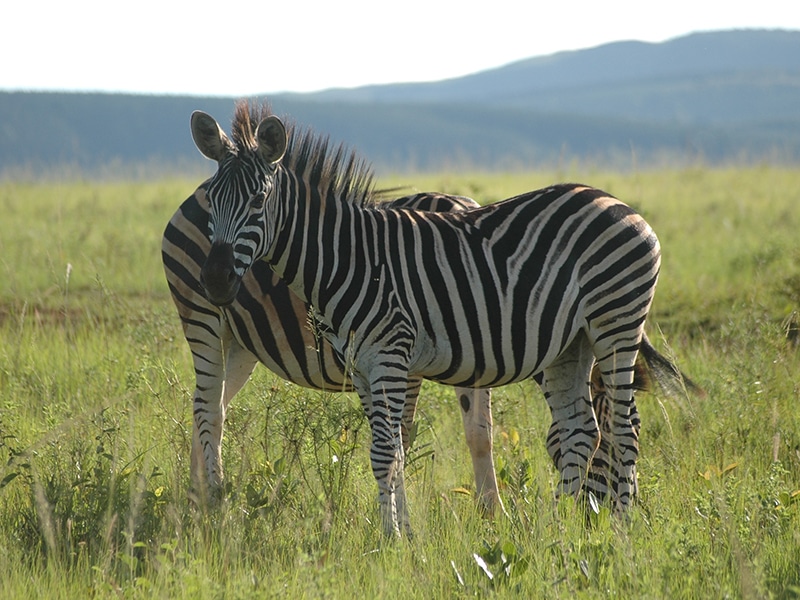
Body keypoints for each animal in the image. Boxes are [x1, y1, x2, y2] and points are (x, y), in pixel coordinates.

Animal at [189, 102, 688, 536]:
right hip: (573, 342)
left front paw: (393, 540)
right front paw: (398, 534)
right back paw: (556, 529)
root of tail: (615, 201)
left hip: (615, 322)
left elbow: (386, 452)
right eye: (211, 199)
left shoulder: (391, 356)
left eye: (258, 200)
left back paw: (618, 530)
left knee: (623, 430)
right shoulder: (364, 367)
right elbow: (388, 451)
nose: (213, 280)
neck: (346, 258)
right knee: (582, 430)